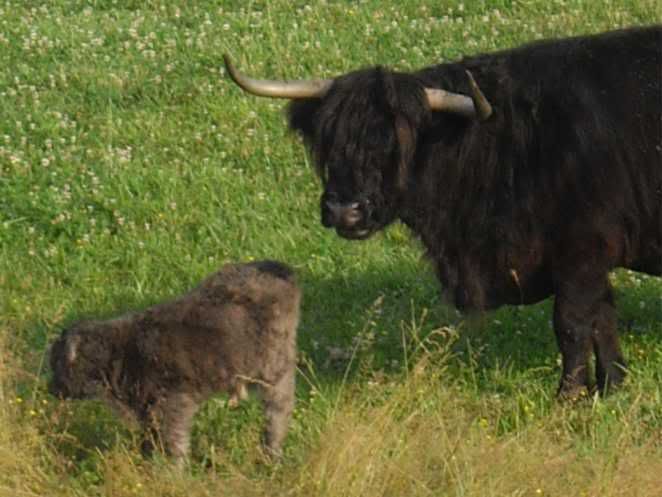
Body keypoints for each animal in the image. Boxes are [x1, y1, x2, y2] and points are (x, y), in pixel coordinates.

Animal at [49, 260, 301, 463]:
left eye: (57, 365)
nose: (51, 389)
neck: (119, 353)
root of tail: (280, 268)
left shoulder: (171, 405)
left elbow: (173, 445)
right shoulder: (148, 411)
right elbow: (150, 442)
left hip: (274, 370)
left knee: (278, 411)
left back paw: (271, 453)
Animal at [224, 26, 662, 399]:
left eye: (396, 142)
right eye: (329, 142)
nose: (345, 210)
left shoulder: (581, 253)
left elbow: (572, 325)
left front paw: (567, 398)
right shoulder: (589, 262)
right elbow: (603, 320)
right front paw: (611, 387)